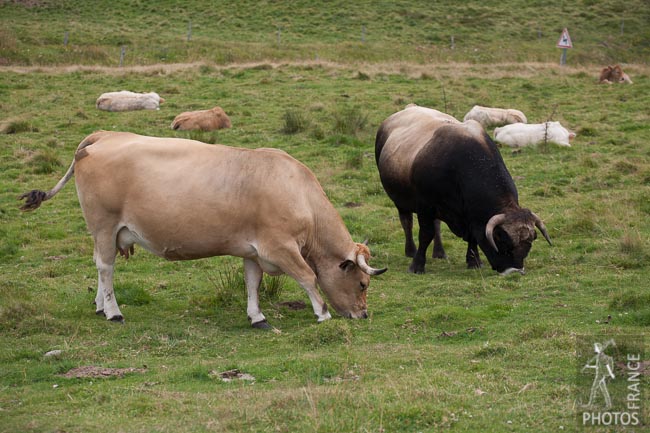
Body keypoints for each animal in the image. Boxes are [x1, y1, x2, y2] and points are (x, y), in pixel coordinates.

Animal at [19, 132, 384, 328]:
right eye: (362, 284)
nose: (364, 314)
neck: (297, 190)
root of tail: (105, 136)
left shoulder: (252, 251)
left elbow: (252, 283)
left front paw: (257, 317)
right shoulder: (279, 247)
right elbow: (308, 276)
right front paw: (322, 313)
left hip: (103, 232)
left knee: (100, 267)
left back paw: (99, 305)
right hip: (104, 225)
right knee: (106, 268)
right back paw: (113, 312)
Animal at [372, 103, 548, 276]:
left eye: (531, 242)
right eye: (501, 239)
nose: (515, 271)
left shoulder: (470, 216)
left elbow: (471, 236)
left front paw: (474, 261)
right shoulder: (425, 207)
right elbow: (425, 234)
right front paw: (417, 265)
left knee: (436, 225)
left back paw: (439, 252)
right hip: (401, 201)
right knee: (407, 223)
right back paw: (410, 250)